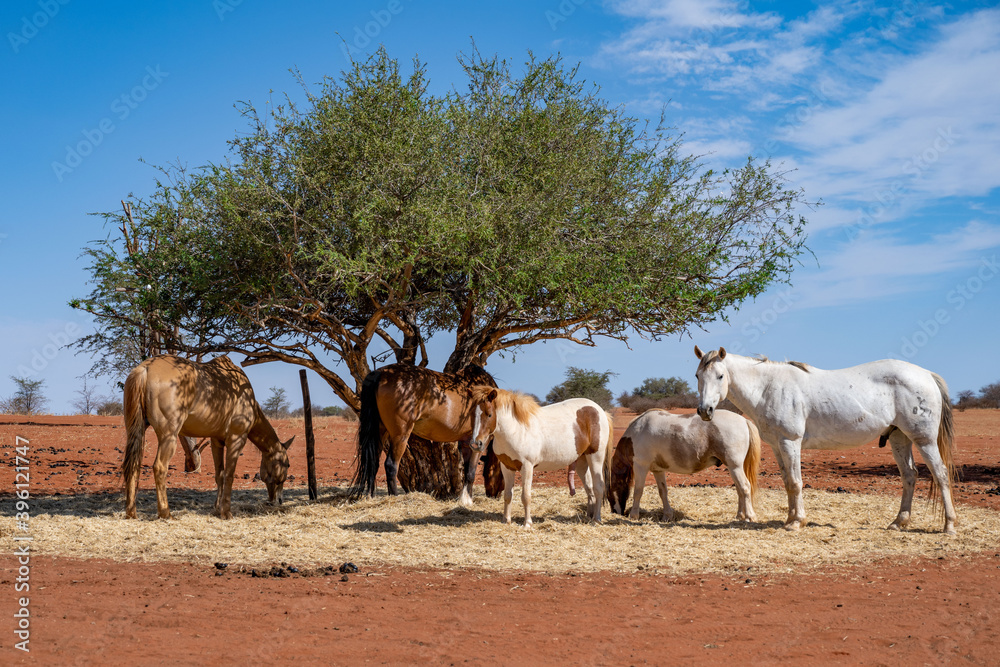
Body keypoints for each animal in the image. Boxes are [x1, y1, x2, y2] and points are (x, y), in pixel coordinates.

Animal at [122, 355, 293, 520]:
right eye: (287, 464)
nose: (279, 500)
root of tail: (145, 368)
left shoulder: (216, 441)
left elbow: (220, 475)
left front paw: (217, 507)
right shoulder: (236, 440)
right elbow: (229, 475)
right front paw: (226, 512)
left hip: (136, 430)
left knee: (133, 466)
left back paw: (131, 513)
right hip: (169, 436)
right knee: (159, 467)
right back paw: (165, 513)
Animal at [349, 363, 498, 506]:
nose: (493, 494)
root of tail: (381, 373)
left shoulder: (467, 442)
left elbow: (467, 471)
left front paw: (465, 498)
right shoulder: (479, 443)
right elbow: (471, 473)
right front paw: (468, 500)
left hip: (380, 432)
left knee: (372, 463)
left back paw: (370, 497)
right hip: (400, 435)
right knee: (391, 465)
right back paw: (394, 497)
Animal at [468, 388, 613, 527]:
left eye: (489, 414)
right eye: (473, 415)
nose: (476, 444)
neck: (516, 429)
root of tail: (600, 411)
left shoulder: (527, 467)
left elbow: (526, 496)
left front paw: (527, 523)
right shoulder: (507, 467)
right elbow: (508, 495)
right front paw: (506, 520)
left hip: (595, 458)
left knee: (598, 487)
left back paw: (596, 520)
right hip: (582, 461)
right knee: (589, 488)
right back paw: (589, 516)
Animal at [607, 409, 760, 522]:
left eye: (609, 491)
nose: (615, 512)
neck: (637, 433)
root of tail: (744, 420)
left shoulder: (641, 466)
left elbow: (638, 491)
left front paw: (634, 515)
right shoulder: (658, 470)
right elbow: (663, 492)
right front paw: (667, 516)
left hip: (735, 467)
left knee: (745, 487)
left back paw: (750, 516)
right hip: (734, 468)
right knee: (739, 490)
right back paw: (739, 516)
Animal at [693, 346, 957, 534]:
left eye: (720, 376)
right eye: (697, 375)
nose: (705, 410)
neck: (768, 388)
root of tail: (926, 374)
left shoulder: (791, 442)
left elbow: (796, 483)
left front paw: (797, 522)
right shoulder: (778, 447)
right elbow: (788, 482)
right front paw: (790, 518)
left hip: (924, 440)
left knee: (941, 474)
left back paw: (949, 525)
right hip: (899, 439)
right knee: (910, 476)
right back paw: (898, 522)